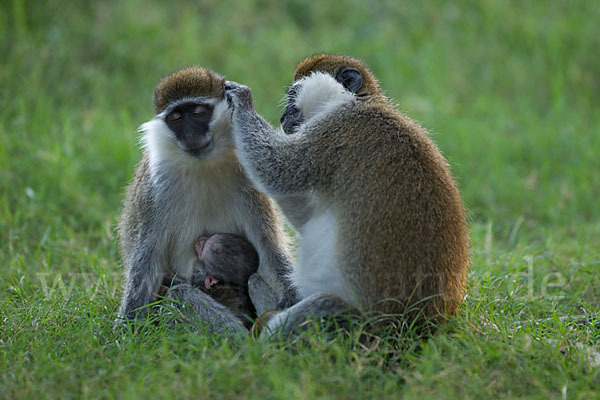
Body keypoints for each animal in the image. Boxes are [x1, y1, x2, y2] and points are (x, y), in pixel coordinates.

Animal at [117, 66, 296, 334]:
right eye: (176, 118)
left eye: (198, 113)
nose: (191, 134)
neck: (204, 164)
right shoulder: (154, 191)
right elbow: (145, 264)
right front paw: (125, 332)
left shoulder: (250, 179)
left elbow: (269, 248)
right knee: (179, 293)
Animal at [225, 54, 468, 340]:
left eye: (293, 96)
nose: (283, 116)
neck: (354, 102)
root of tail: (422, 330)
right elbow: (305, 213)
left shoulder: (336, 130)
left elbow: (277, 169)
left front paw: (241, 102)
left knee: (326, 304)